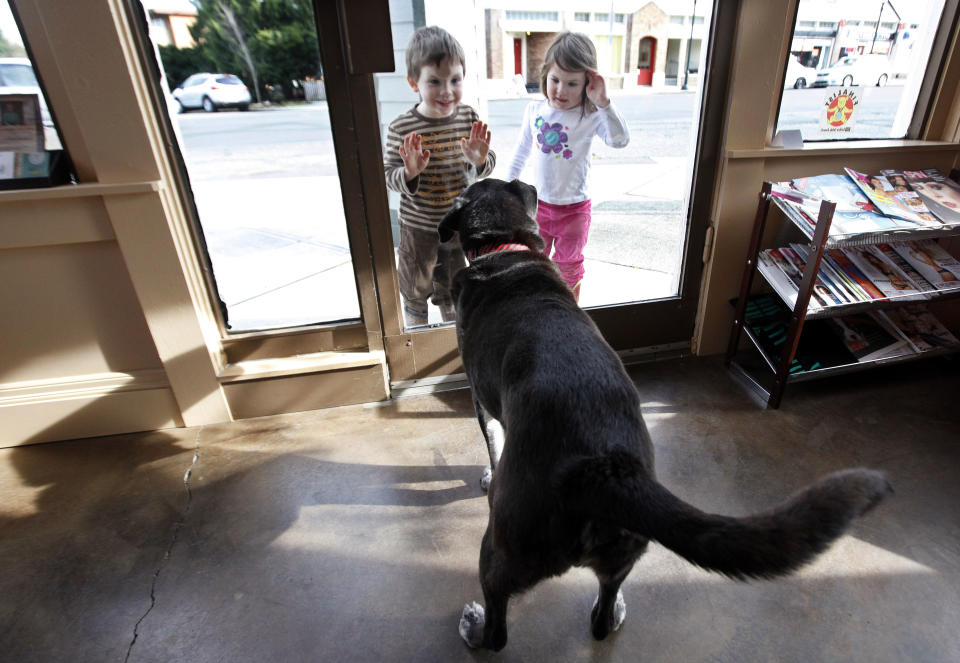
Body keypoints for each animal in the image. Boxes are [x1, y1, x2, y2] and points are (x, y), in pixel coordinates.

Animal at [438, 179, 896, 656]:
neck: (504, 250)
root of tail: (602, 470)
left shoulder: (482, 398)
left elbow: (493, 443)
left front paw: (488, 474)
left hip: (504, 546)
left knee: (499, 628)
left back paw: (474, 628)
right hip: (622, 554)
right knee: (600, 618)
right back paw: (615, 611)